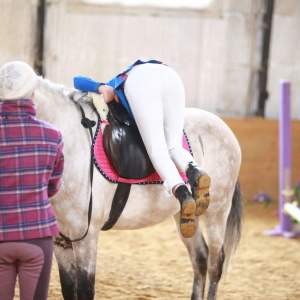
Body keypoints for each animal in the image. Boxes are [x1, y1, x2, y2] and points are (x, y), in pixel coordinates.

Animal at [35, 78, 243, 300]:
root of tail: (222, 126)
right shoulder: (61, 239)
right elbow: (68, 287)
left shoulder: (86, 236)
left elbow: (84, 289)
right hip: (185, 216)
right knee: (200, 260)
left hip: (217, 212)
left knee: (214, 264)